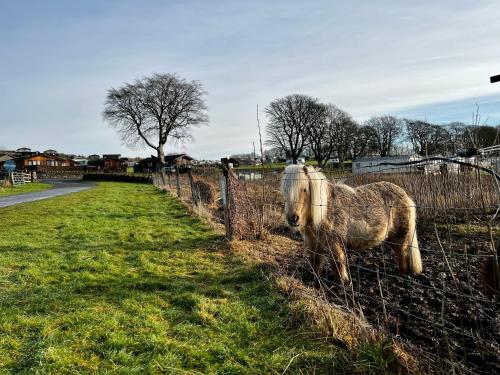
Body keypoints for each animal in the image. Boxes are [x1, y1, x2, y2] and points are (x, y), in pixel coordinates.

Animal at [282, 164, 422, 282]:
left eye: (305, 189)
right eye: (285, 191)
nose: (293, 218)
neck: (325, 209)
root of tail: (405, 195)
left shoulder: (334, 241)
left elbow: (338, 261)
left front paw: (343, 282)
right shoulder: (313, 242)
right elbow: (315, 260)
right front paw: (314, 279)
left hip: (401, 235)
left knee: (403, 253)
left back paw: (402, 274)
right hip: (391, 237)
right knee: (399, 252)